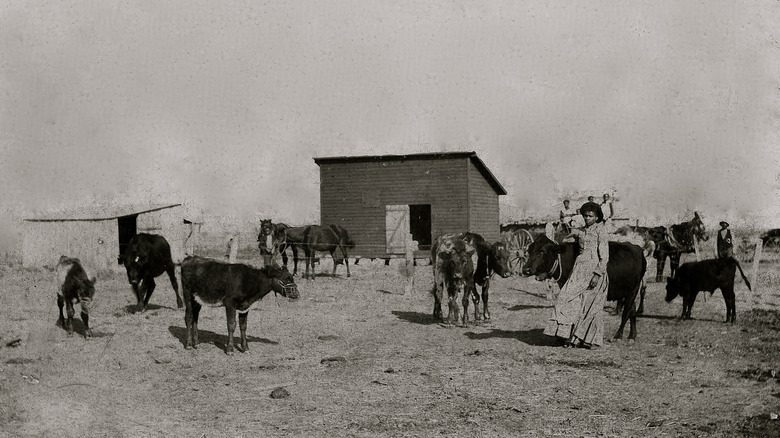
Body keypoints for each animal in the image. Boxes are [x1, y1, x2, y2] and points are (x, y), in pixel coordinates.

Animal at [520, 236, 648, 338]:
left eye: (542, 251)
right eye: (529, 251)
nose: (526, 269)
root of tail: (637, 248)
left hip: (633, 290)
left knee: (627, 312)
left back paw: (618, 335)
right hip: (628, 291)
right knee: (632, 311)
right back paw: (632, 335)